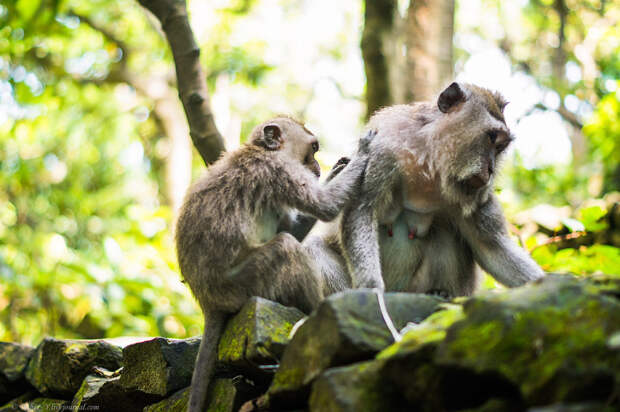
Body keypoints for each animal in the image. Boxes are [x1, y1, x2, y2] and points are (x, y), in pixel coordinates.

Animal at [174, 116, 372, 412]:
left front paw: (338, 169)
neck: (262, 150)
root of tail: (208, 302)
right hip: (243, 284)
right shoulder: (278, 170)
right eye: (313, 148)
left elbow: (293, 226)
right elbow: (323, 206)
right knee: (285, 248)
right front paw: (364, 151)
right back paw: (316, 314)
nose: (317, 168)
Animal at [304, 81, 544, 300]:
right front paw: (370, 287)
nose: (491, 169)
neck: (432, 163)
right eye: (492, 137)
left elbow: (491, 247)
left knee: (446, 234)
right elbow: (362, 210)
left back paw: (440, 293)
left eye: (500, 147)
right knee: (314, 247)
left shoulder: (476, 193)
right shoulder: (382, 149)